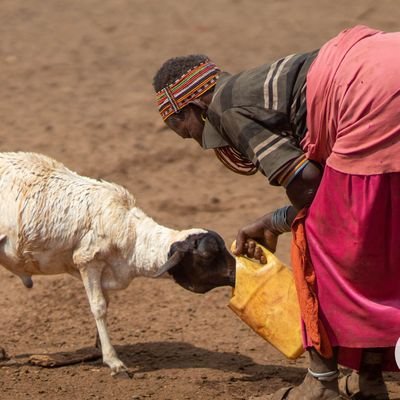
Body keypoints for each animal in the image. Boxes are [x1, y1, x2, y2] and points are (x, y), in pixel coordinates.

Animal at [0, 152, 234, 376]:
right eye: (208, 255)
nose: (235, 274)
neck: (134, 236)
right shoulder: (87, 261)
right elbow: (99, 307)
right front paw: (113, 362)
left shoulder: (106, 270)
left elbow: (106, 303)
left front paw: (98, 349)